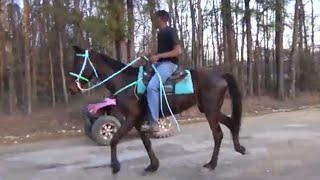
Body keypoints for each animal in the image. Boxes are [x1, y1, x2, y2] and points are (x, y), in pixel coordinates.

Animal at [69, 45, 246, 174]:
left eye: (79, 64)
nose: (71, 88)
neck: (125, 82)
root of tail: (221, 76)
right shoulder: (138, 121)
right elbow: (146, 143)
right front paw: (153, 165)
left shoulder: (131, 118)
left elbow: (114, 139)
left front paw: (115, 166)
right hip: (210, 110)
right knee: (231, 123)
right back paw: (239, 148)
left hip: (210, 110)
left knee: (218, 134)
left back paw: (212, 163)